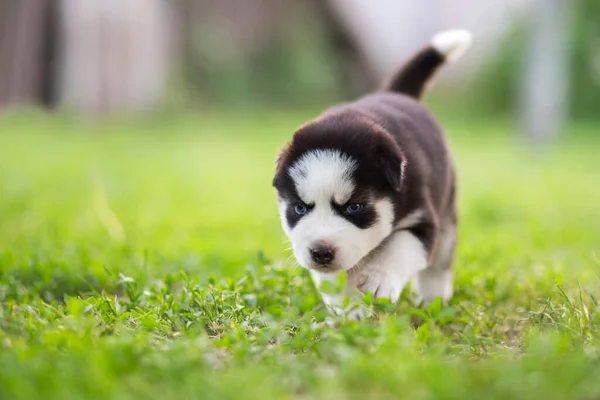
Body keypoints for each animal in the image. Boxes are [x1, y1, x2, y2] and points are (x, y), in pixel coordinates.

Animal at [272, 29, 474, 316]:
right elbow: (335, 279)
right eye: (300, 208)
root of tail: (395, 93)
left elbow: (400, 247)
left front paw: (379, 279)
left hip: (446, 211)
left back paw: (432, 299)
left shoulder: (422, 219)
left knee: (439, 262)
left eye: (354, 207)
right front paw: (350, 309)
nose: (321, 253)